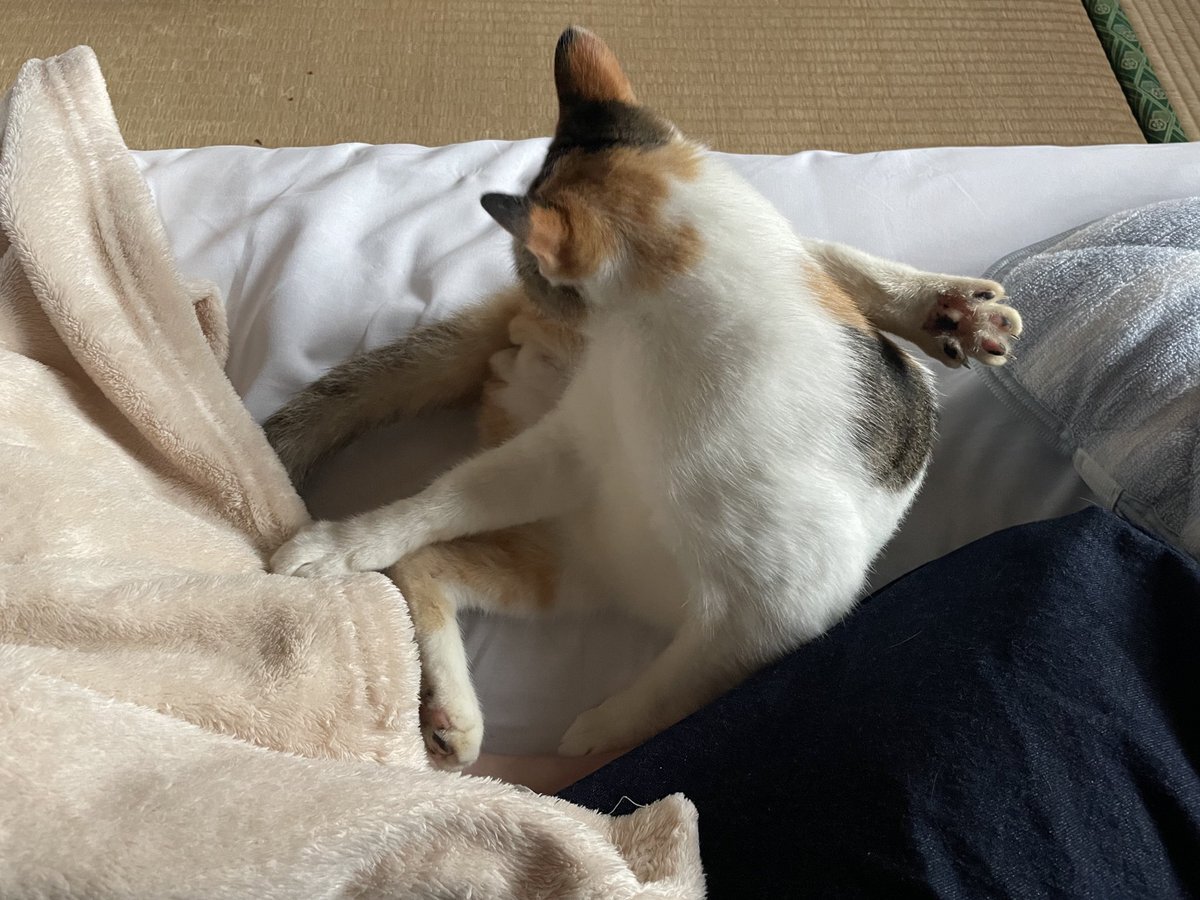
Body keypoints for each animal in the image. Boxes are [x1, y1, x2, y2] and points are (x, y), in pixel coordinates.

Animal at [266, 26, 1022, 770]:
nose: (528, 280)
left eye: (528, 261)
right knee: (428, 556)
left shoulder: (781, 606)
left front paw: (595, 742)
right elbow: (428, 507)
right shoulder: (570, 445)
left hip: (571, 568)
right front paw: (340, 546)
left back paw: (955, 312)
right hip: (562, 544)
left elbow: (677, 694)